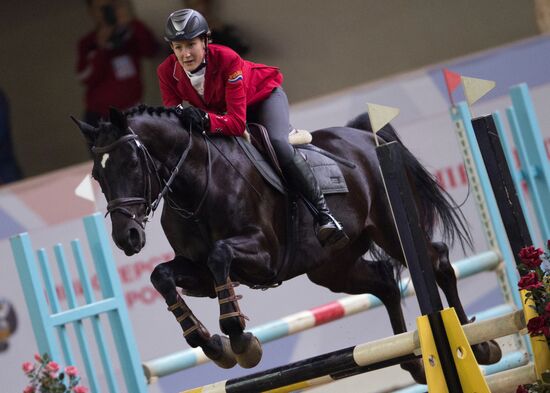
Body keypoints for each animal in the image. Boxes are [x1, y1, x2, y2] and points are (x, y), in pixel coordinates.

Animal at [74, 105, 504, 382]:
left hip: (393, 230)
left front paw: (239, 339)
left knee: (438, 261)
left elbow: (219, 256)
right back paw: (412, 361)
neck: (196, 183)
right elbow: (162, 276)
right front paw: (211, 344)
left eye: (132, 162)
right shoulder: (197, 273)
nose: (126, 237)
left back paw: (478, 343)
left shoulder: (262, 256)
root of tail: (365, 136)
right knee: (383, 280)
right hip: (332, 266)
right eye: (97, 174)